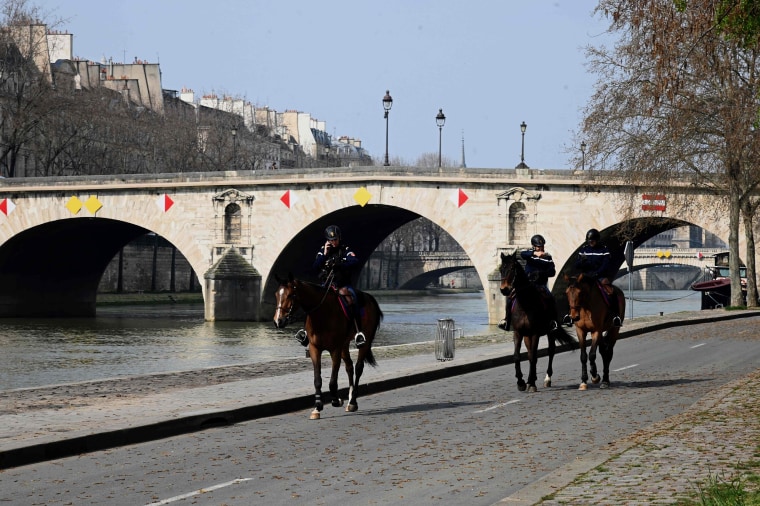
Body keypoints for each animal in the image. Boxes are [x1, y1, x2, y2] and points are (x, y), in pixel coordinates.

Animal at [272, 274, 382, 422]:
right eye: (276, 294)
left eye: (291, 295)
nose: (278, 321)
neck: (322, 314)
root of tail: (369, 297)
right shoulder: (315, 349)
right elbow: (317, 379)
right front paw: (317, 406)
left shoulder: (335, 349)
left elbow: (332, 380)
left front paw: (336, 400)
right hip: (344, 345)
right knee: (349, 367)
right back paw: (349, 399)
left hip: (364, 341)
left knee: (358, 368)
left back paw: (353, 401)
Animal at [498, 252, 576, 392]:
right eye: (501, 269)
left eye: (512, 268)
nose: (504, 289)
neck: (525, 304)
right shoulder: (518, 333)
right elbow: (517, 355)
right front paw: (521, 382)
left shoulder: (535, 333)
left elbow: (534, 357)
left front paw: (531, 383)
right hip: (527, 336)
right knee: (530, 354)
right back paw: (531, 379)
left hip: (550, 331)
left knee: (550, 351)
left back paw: (546, 379)